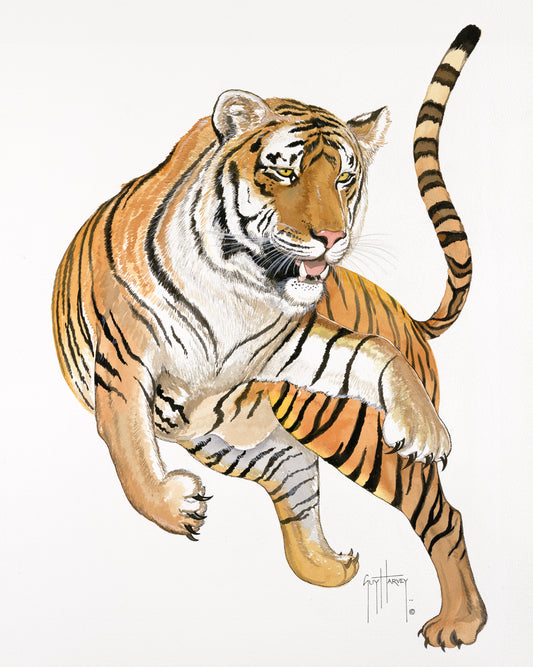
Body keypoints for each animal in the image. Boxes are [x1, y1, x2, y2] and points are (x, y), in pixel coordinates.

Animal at [52, 25, 486, 649]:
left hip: (354, 436)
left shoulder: (289, 343)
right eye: (284, 171)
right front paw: (175, 504)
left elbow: (369, 352)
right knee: (301, 497)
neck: (236, 288)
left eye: (345, 177)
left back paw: (459, 623)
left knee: (443, 518)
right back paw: (335, 566)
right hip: (258, 449)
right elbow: (131, 452)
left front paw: (425, 427)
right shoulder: (122, 361)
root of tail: (410, 317)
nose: (331, 237)